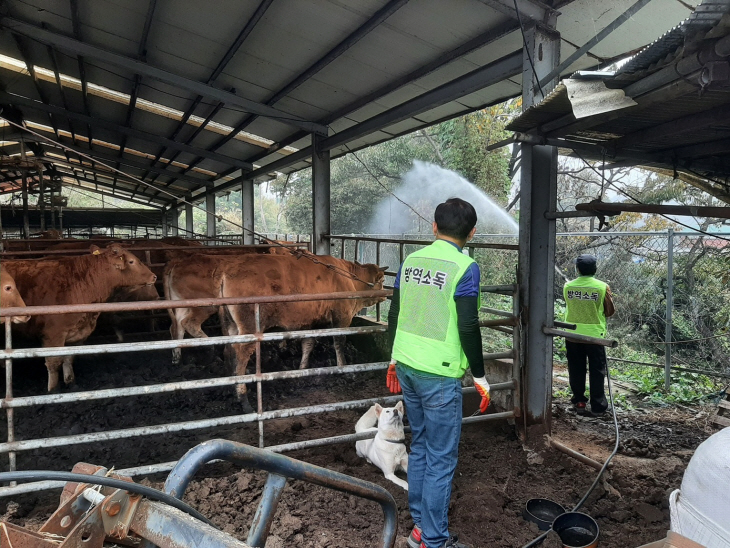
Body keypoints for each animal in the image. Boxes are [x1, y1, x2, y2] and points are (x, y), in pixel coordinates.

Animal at [3, 243, 156, 390]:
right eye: (131, 261)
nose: (153, 276)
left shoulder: (78, 334)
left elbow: (69, 358)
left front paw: (70, 383)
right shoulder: (53, 335)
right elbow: (54, 363)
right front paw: (53, 390)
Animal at [161, 253, 384, 394]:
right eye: (381, 280)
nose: (385, 294)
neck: (348, 277)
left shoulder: (311, 321)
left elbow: (308, 344)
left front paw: (302, 368)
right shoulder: (342, 316)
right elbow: (339, 343)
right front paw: (344, 368)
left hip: (223, 320)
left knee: (180, 329)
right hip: (217, 313)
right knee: (194, 327)